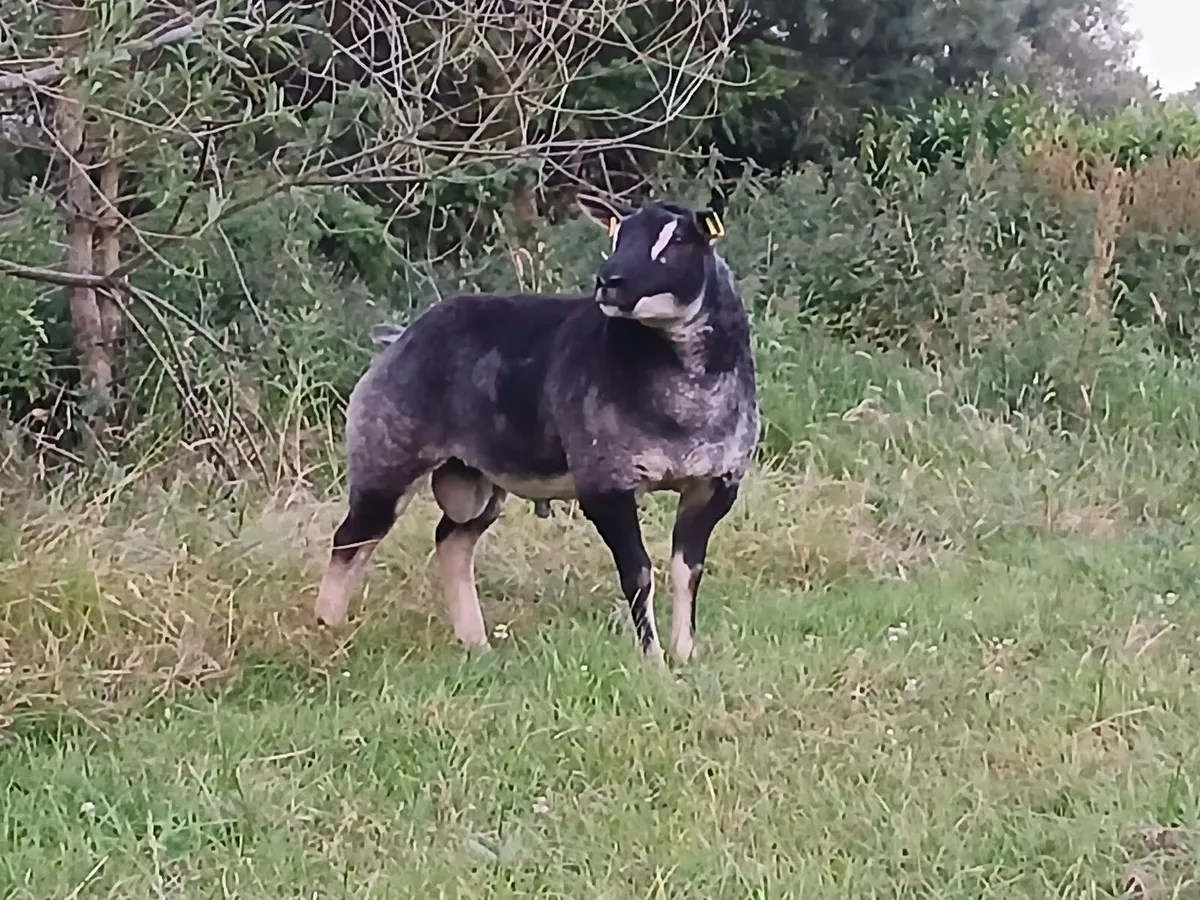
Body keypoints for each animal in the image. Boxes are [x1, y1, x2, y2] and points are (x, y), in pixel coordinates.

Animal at [315, 192, 760, 665]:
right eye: (616, 234)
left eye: (676, 241)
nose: (609, 281)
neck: (687, 398)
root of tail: (401, 337)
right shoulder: (605, 485)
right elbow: (638, 574)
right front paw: (654, 662)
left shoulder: (715, 484)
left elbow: (687, 570)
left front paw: (685, 653)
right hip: (387, 461)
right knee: (351, 540)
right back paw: (329, 630)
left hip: (476, 479)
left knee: (450, 540)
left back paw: (476, 642)